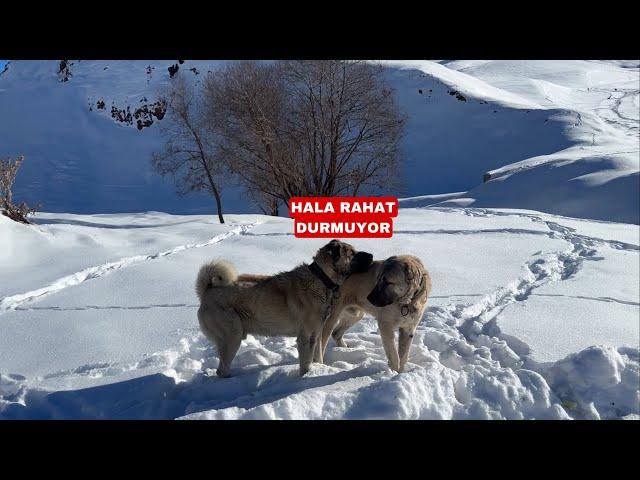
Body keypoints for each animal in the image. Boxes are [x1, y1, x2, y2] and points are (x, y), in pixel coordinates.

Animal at [196, 240, 376, 378]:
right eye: (352, 253)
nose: (372, 256)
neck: (321, 279)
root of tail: (207, 290)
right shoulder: (306, 336)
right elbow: (306, 362)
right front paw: (306, 376)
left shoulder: (317, 333)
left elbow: (318, 355)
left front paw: (320, 369)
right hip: (233, 335)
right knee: (222, 370)